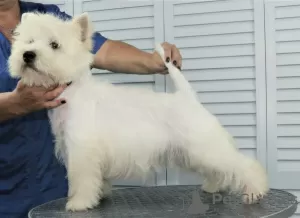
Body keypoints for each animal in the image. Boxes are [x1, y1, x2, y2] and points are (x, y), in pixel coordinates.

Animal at [8, 11, 268, 211]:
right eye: (28, 41)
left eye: (54, 45)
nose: (28, 55)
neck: (71, 90)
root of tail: (187, 97)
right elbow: (96, 178)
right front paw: (100, 194)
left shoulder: (81, 150)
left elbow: (81, 178)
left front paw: (79, 203)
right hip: (195, 150)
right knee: (217, 169)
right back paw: (213, 186)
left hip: (204, 145)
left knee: (242, 164)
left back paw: (255, 191)